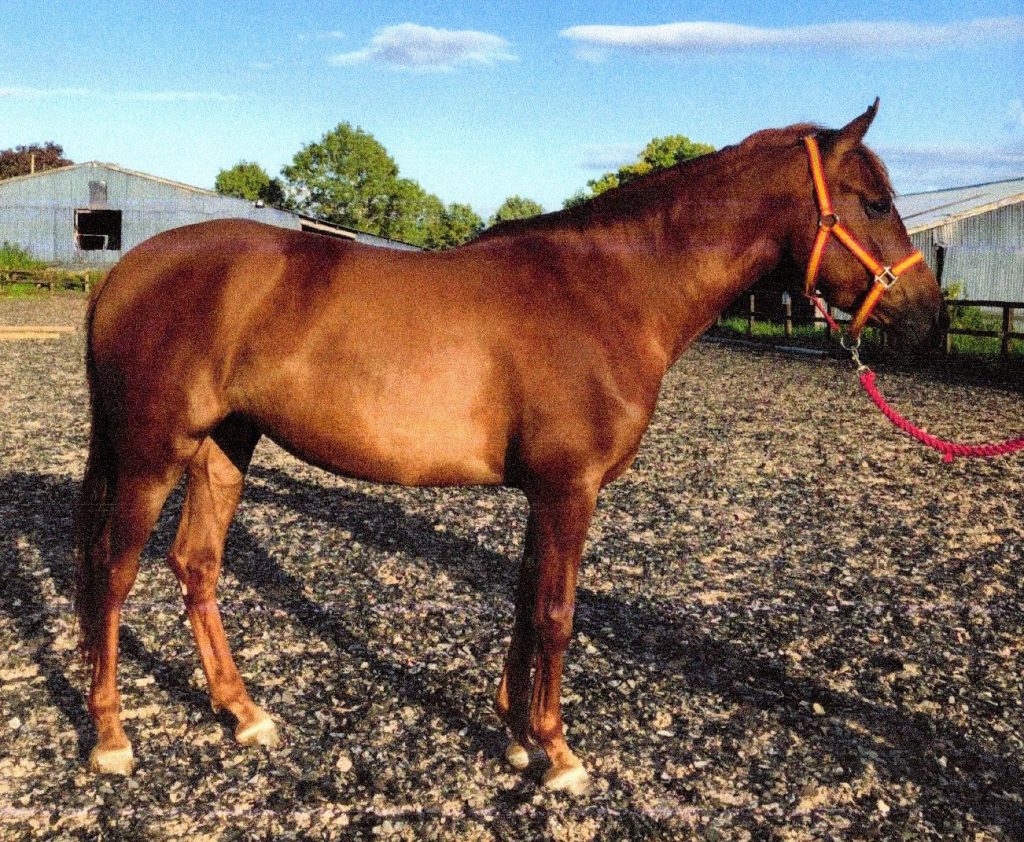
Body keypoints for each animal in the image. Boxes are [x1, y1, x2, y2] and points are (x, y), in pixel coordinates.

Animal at [74, 101, 944, 791]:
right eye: (872, 202)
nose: (929, 317)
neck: (608, 292)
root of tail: (125, 271)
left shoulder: (545, 493)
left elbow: (527, 601)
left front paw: (518, 735)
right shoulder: (569, 489)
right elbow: (557, 613)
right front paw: (559, 755)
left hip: (225, 445)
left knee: (196, 564)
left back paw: (244, 712)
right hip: (154, 454)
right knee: (113, 575)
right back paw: (111, 737)